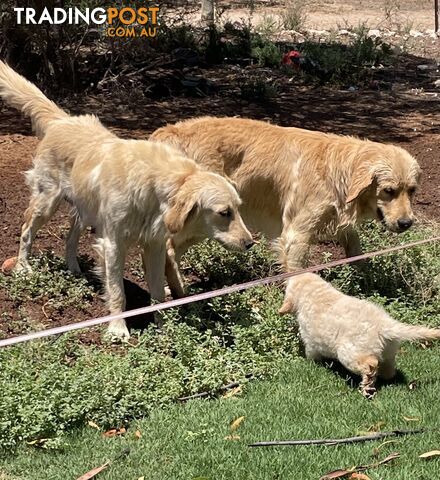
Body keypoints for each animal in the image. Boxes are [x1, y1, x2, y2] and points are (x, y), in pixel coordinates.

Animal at [0, 62, 253, 340]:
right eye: (224, 212)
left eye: (238, 209)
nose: (251, 243)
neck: (155, 186)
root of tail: (63, 120)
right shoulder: (113, 244)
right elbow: (117, 292)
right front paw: (117, 329)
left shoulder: (155, 246)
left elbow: (157, 293)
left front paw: (163, 328)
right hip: (47, 202)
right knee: (26, 230)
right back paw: (23, 267)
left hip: (84, 210)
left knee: (70, 236)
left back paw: (73, 267)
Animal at [151, 116, 422, 280]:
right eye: (389, 190)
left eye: (412, 190)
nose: (406, 223)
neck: (337, 170)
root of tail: (169, 131)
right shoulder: (296, 235)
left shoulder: (338, 223)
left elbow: (355, 249)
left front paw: (366, 281)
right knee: (168, 248)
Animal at [280, 274, 440, 398]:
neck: (315, 292)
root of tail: (385, 325)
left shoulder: (310, 341)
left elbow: (312, 354)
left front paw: (312, 364)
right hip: (388, 352)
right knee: (388, 369)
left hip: (349, 353)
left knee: (370, 364)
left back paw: (366, 386)